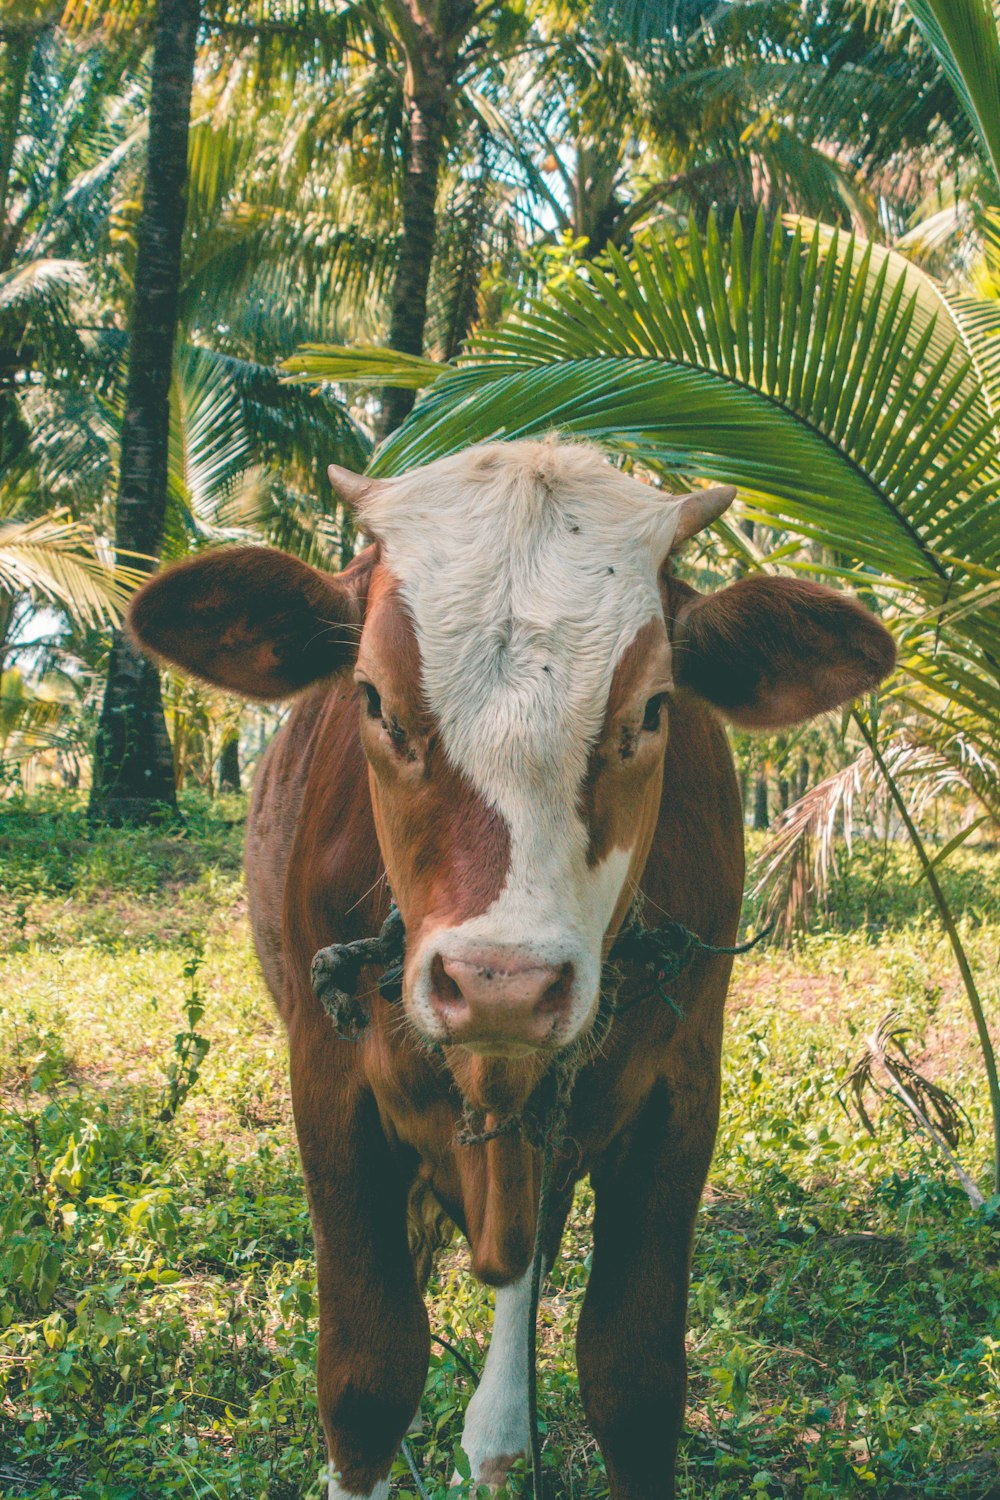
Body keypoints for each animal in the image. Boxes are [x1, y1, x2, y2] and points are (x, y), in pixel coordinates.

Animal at [128, 438, 893, 1500]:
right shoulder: (328, 1082)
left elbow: (633, 1379)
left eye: (652, 709)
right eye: (373, 698)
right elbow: (366, 1377)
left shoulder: (681, 1088)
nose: (503, 982)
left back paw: (496, 1437)